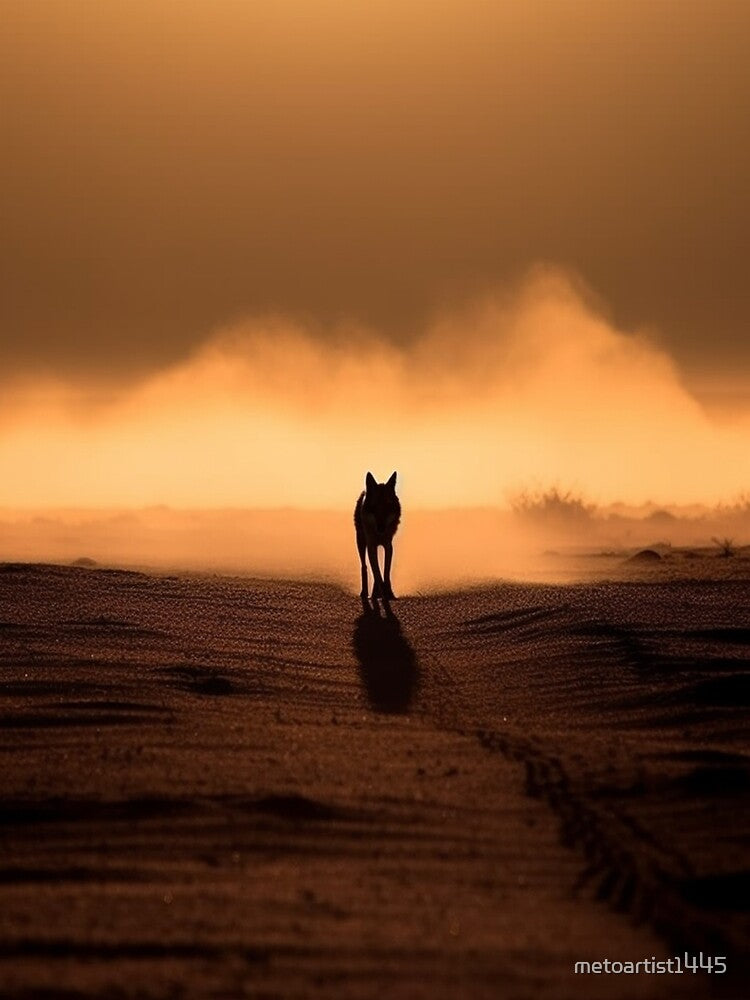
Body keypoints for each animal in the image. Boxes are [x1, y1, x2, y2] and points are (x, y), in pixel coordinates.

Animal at [354, 471, 401, 601]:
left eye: (387, 508)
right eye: (374, 509)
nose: (381, 528)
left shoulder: (388, 546)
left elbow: (385, 572)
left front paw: (389, 594)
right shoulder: (371, 546)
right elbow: (377, 573)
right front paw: (382, 594)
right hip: (361, 543)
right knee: (365, 566)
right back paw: (365, 593)